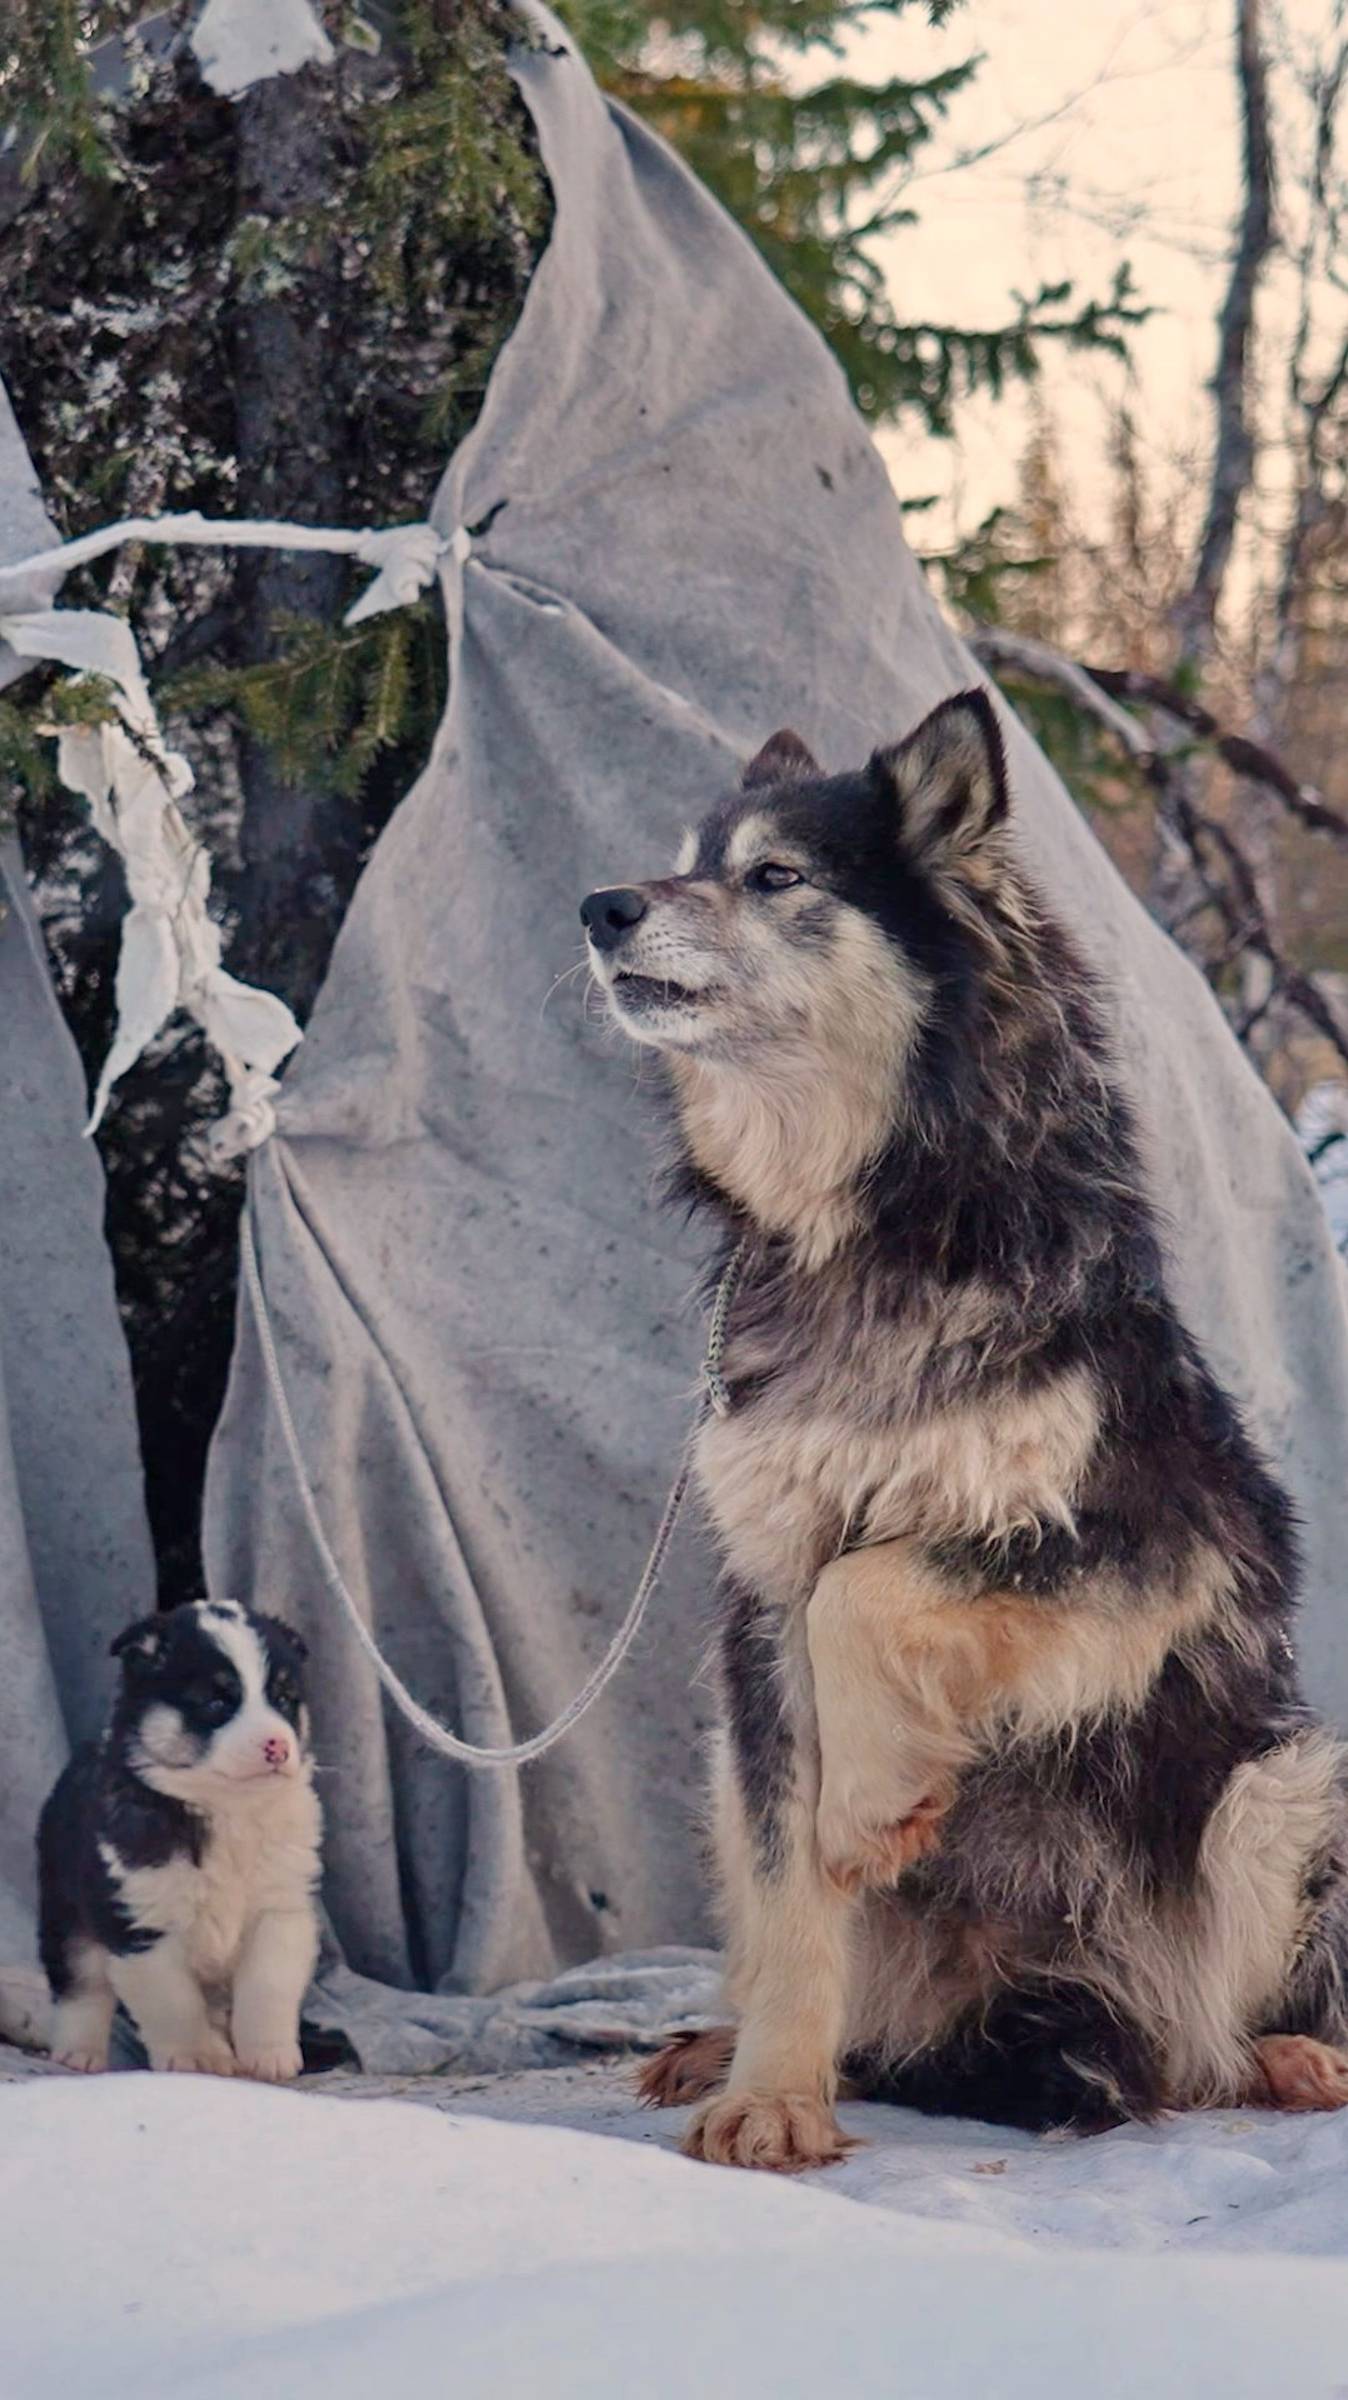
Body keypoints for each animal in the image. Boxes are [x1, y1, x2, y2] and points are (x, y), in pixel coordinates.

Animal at [36, 1593, 319, 2083]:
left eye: (284, 1699)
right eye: (216, 1702)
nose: (278, 1747)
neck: (227, 1811)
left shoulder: (282, 1910)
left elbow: (268, 1983)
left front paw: (269, 2056)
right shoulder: (142, 1922)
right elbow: (174, 2002)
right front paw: (193, 2059)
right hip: (65, 1911)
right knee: (81, 1985)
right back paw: (79, 2052)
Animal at [582, 691, 1343, 2179]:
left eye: (776, 876)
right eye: (682, 860)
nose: (601, 904)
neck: (865, 1234)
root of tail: (1052, 1992)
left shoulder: (1142, 1550)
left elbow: (871, 1584)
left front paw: (880, 1802)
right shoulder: (757, 1611)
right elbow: (797, 1886)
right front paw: (772, 2097)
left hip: (1281, 1778)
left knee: (1214, 2040)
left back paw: (1295, 2056)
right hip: (723, 1773)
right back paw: (730, 2042)